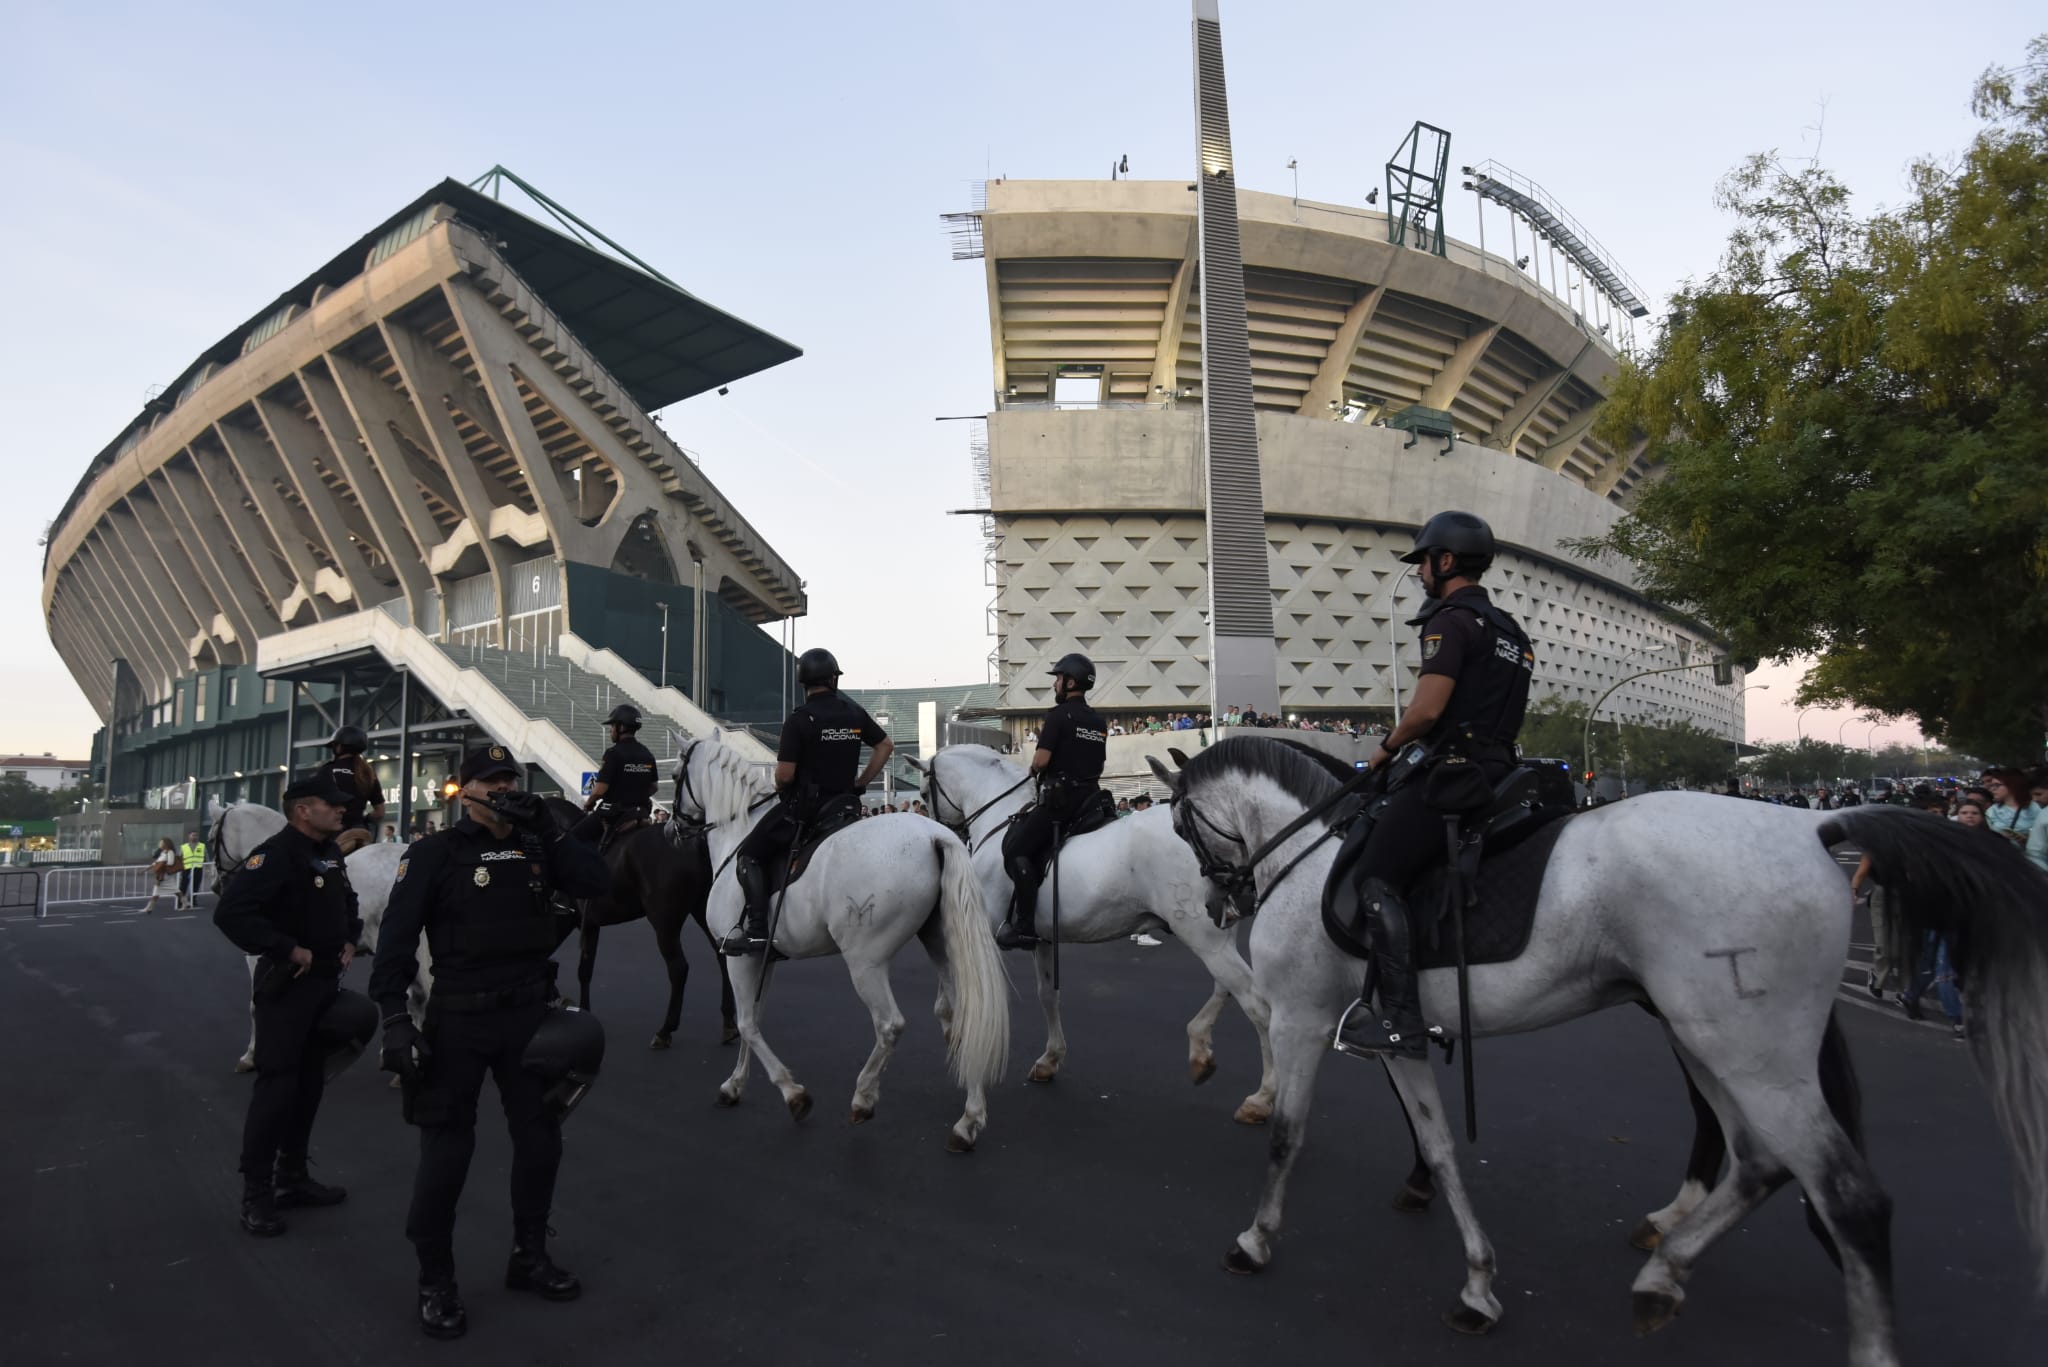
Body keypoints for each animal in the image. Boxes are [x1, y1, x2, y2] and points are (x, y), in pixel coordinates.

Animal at [675, 733, 1011, 1147]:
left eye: (675, 774)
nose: (673, 827)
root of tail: (935, 834)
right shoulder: (762, 959)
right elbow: (752, 1018)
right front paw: (734, 1085)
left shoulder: (740, 957)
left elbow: (747, 1024)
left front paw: (794, 1095)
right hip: (939, 944)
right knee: (962, 1014)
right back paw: (970, 1117)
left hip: (865, 961)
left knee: (889, 1025)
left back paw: (863, 1098)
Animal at [909, 750, 1261, 1123]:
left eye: (923, 793)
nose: (945, 835)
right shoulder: (1043, 940)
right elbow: (1048, 995)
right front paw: (1050, 1060)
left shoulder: (981, 932)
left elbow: (953, 992)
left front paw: (955, 1033)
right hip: (1218, 935)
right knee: (1226, 988)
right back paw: (1201, 1050)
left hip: (1205, 939)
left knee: (1254, 1001)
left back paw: (1262, 1098)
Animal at [1155, 741, 2048, 1360]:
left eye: (1181, 822)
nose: (1219, 899)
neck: (1314, 853)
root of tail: (1814, 821)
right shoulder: (1392, 1035)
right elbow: (1441, 1150)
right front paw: (1478, 1284)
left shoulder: (1304, 1019)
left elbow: (1286, 1137)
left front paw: (1254, 1240)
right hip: (1713, 1034)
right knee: (1759, 1157)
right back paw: (1665, 1268)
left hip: (1744, 1045)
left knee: (1847, 1194)